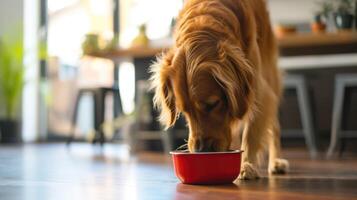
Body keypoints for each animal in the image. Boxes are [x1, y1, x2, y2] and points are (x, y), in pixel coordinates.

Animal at [149, 0, 288, 180]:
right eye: (184, 111)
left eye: (213, 103)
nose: (201, 151)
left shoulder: (257, 89)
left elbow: (251, 131)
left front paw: (246, 165)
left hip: (270, 72)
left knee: (274, 125)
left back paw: (276, 161)